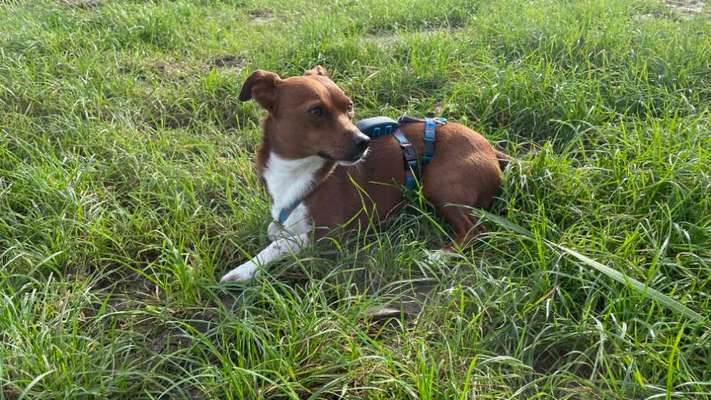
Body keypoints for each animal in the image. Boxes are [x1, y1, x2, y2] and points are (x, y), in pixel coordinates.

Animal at [220, 65, 504, 282]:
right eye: (316, 111)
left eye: (349, 107)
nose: (364, 141)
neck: (298, 170)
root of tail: (492, 149)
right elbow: (274, 229)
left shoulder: (332, 236)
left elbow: (281, 242)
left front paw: (243, 271)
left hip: (439, 182)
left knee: (475, 230)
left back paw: (438, 256)